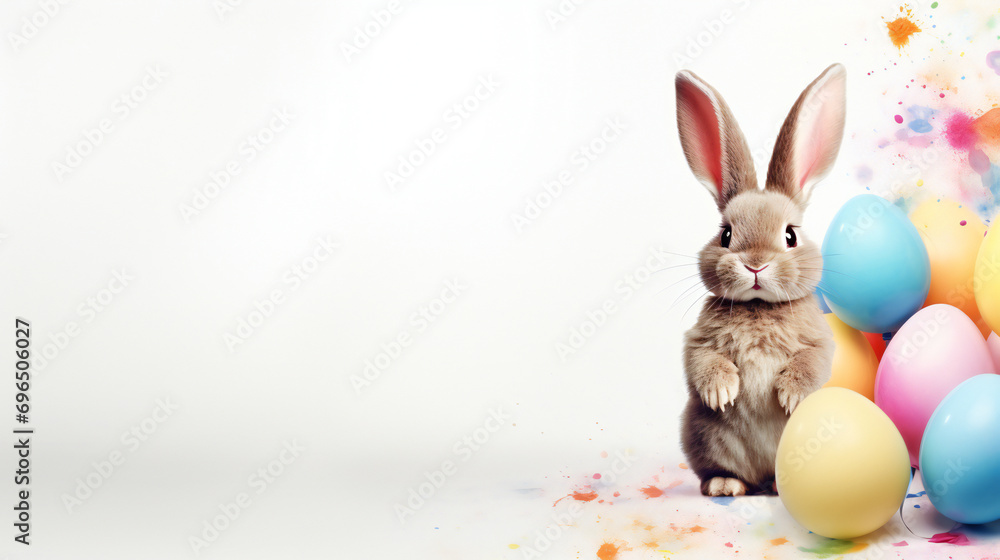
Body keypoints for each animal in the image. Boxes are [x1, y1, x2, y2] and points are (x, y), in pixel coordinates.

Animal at [675, 64, 844, 497]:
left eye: (790, 236)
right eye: (726, 235)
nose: (755, 266)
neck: (758, 308)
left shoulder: (819, 342)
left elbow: (812, 361)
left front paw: (791, 395)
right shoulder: (698, 341)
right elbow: (702, 360)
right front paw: (722, 392)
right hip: (701, 434)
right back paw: (725, 485)